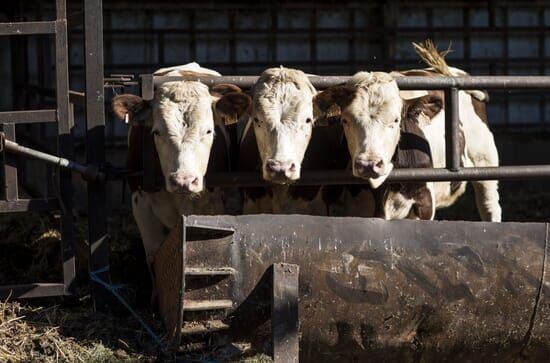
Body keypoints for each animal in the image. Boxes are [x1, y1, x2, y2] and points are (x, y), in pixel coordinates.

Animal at [113, 62, 251, 290]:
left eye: (209, 131)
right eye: (156, 132)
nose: (183, 181)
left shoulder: (210, 205)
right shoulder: (141, 205)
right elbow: (154, 258)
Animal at [312, 67, 502, 222]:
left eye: (396, 120)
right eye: (345, 120)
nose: (368, 164)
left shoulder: (424, 204)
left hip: (485, 161)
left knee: (489, 205)